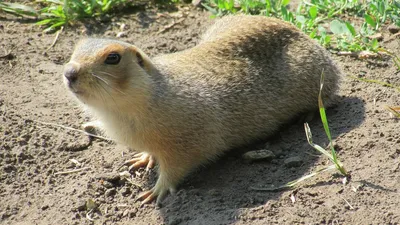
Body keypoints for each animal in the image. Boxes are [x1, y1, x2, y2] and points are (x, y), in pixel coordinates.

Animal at [61, 13, 340, 204]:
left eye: (113, 57)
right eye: (74, 49)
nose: (69, 72)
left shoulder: (186, 138)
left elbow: (178, 165)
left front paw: (156, 191)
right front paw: (143, 158)